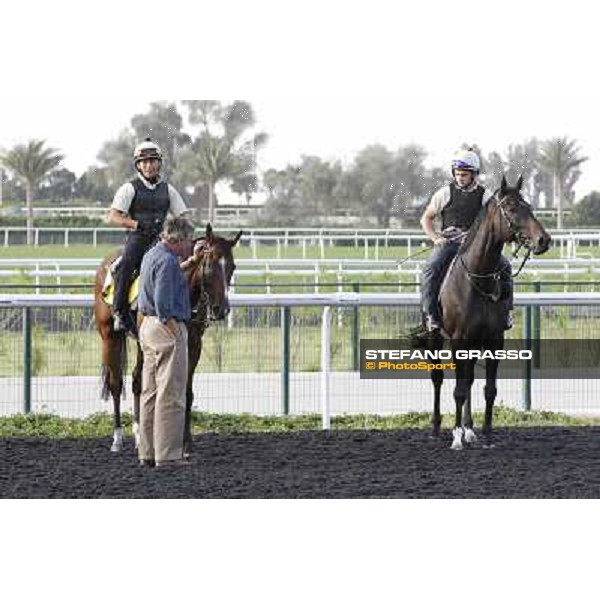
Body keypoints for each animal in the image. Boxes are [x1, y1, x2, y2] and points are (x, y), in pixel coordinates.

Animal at [95, 225, 240, 454]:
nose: (221, 310)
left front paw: (186, 443)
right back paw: (118, 439)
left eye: (232, 268)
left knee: (136, 380)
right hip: (109, 335)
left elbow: (186, 392)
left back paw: (140, 436)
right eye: (209, 267)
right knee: (116, 382)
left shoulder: (194, 344)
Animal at [422, 178, 548, 450]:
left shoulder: (494, 339)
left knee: (468, 379)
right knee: (438, 378)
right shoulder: (458, 340)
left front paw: (486, 434)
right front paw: (456, 437)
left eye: (528, 205)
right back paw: (437, 429)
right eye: (510, 207)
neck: (478, 278)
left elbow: (489, 389)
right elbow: (457, 389)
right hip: (436, 338)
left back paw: (470, 429)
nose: (544, 240)